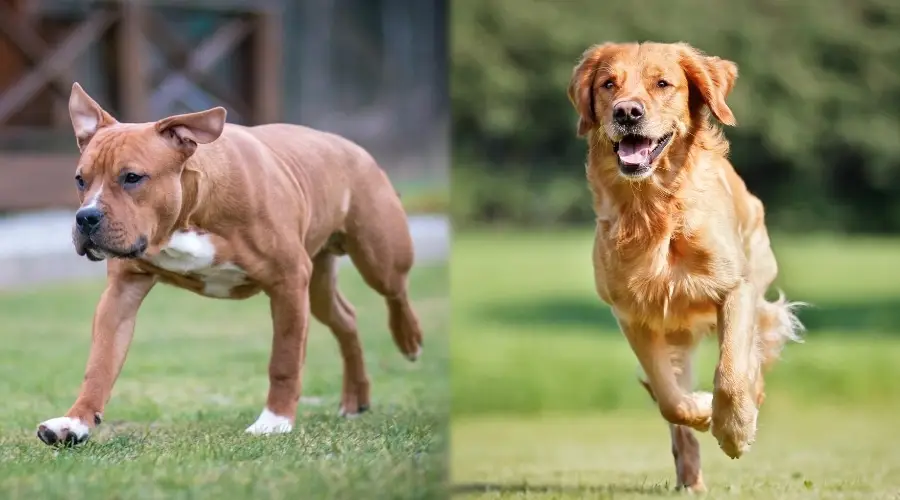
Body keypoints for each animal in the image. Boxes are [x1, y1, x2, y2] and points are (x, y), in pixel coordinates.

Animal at [37, 84, 424, 448]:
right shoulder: (122, 292)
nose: (85, 217)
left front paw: (275, 421)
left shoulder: (287, 282)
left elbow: (284, 359)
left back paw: (409, 339)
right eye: (80, 180)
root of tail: (350, 146)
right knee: (346, 320)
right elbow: (100, 364)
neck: (190, 212)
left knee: (396, 291)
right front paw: (75, 422)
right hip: (318, 286)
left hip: (378, 256)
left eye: (132, 177)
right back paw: (356, 398)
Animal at [568, 43, 804, 492]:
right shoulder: (633, 315)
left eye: (663, 83)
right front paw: (702, 409)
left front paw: (734, 430)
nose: (627, 112)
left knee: (753, 360)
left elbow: (731, 373)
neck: (653, 210)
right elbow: (669, 398)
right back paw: (690, 474)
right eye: (608, 84)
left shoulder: (736, 289)